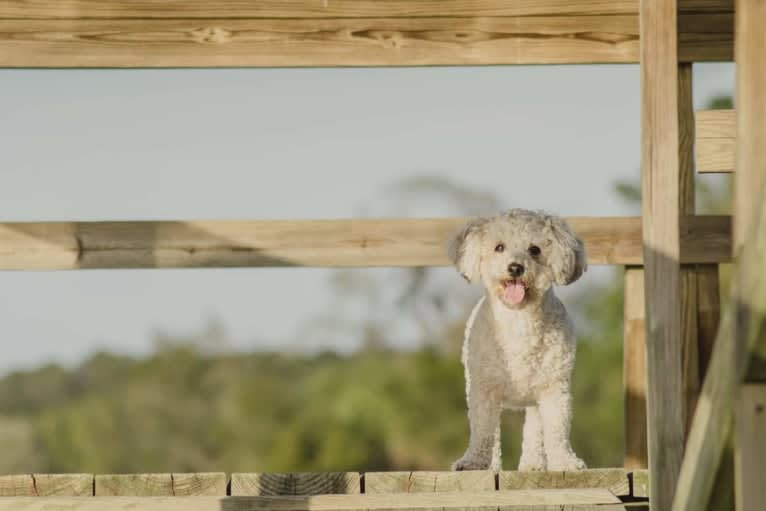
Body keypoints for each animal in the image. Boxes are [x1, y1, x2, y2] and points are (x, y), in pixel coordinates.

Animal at [450, 208, 588, 472]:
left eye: (534, 249)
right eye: (499, 247)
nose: (515, 267)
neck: (518, 321)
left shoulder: (554, 389)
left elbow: (556, 431)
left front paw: (565, 461)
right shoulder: (483, 391)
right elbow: (483, 431)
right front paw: (472, 462)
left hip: (534, 399)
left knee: (534, 432)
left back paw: (532, 465)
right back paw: (493, 466)